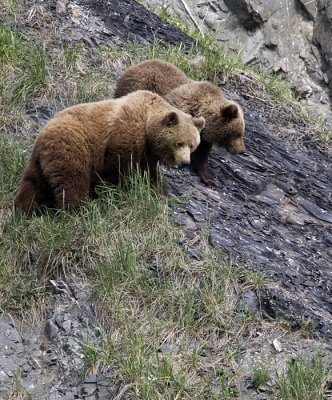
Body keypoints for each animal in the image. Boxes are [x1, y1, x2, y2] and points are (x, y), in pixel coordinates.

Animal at [14, 90, 205, 216]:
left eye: (192, 145)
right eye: (179, 143)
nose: (185, 163)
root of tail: (42, 137)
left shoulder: (148, 153)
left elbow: (149, 173)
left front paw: (161, 191)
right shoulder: (124, 136)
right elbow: (119, 168)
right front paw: (120, 189)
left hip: (39, 162)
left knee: (33, 184)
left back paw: (24, 209)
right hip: (71, 147)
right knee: (73, 181)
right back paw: (81, 210)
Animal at [115, 59, 246, 186]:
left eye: (241, 133)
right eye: (238, 134)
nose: (243, 150)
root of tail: (137, 65)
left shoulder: (203, 138)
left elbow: (201, 156)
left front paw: (209, 179)